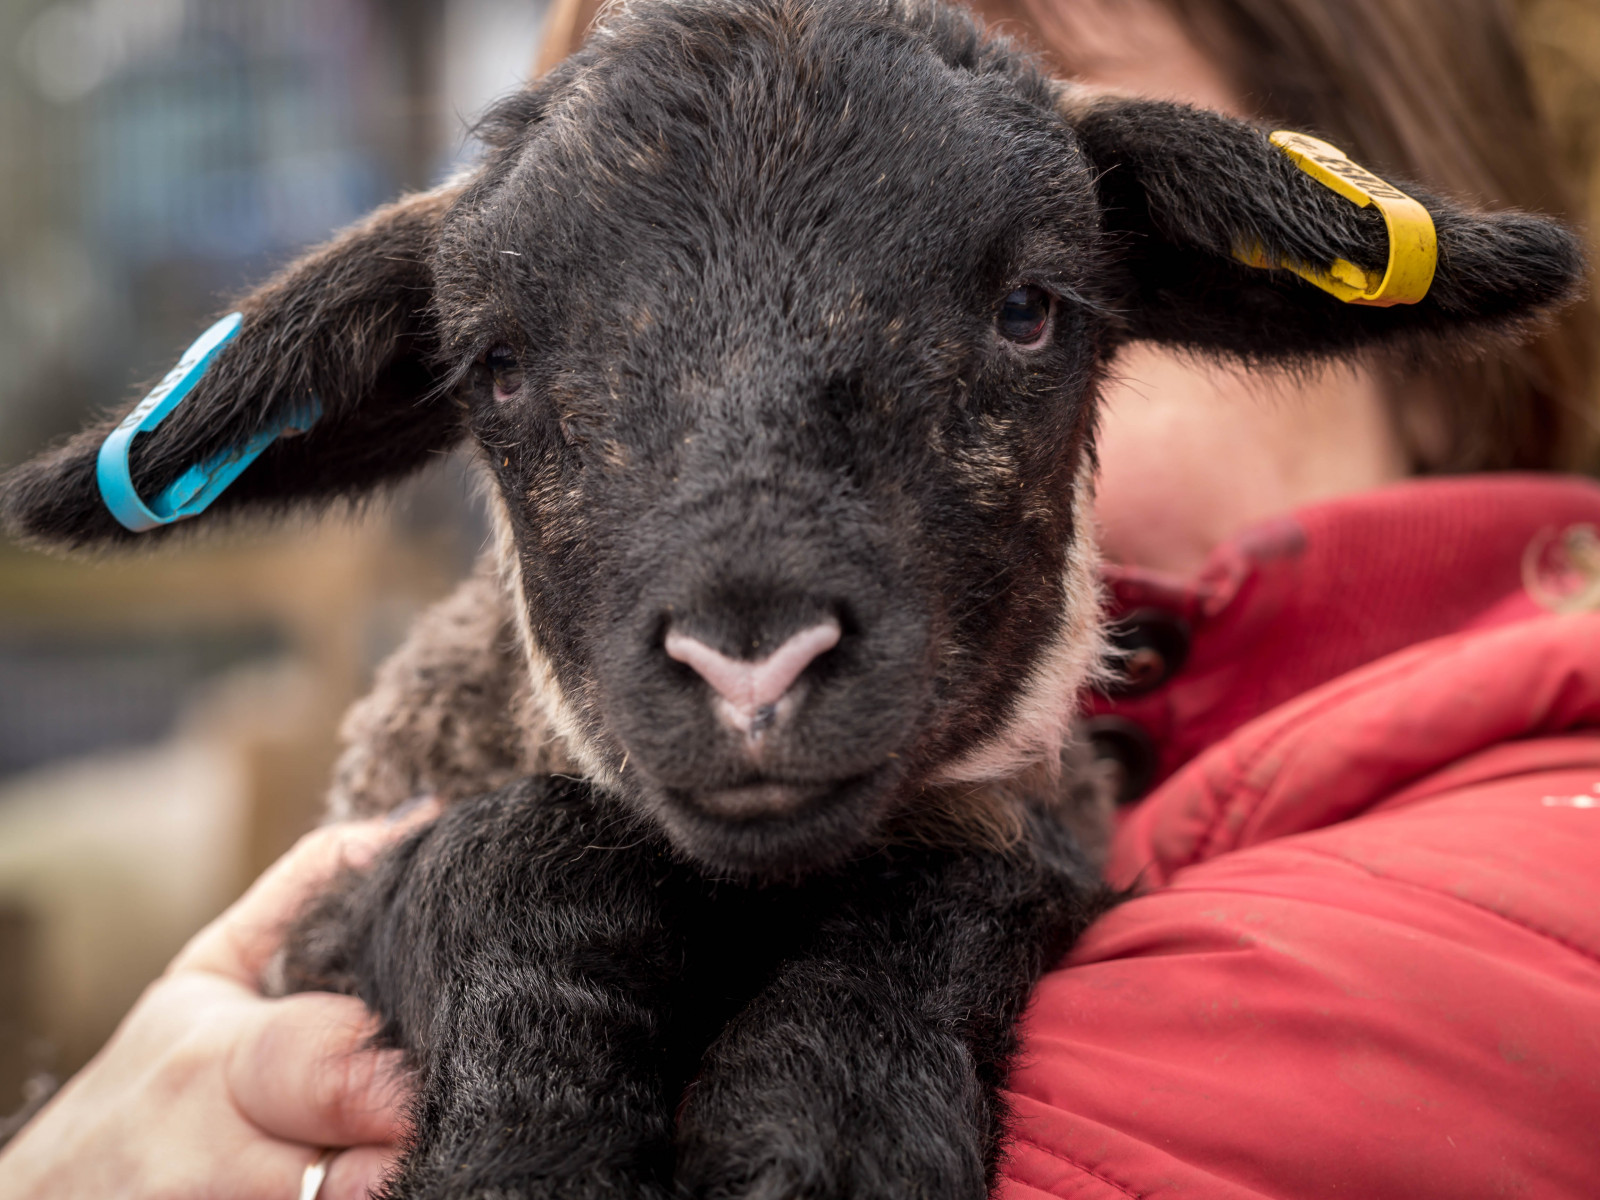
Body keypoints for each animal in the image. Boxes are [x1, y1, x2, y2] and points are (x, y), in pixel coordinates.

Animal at [0, 0, 1583, 1194]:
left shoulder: (1032, 824)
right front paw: (528, 1147)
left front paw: (838, 1130)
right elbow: (497, 856)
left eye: (1029, 311)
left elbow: (964, 868)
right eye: (497, 366)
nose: (751, 665)